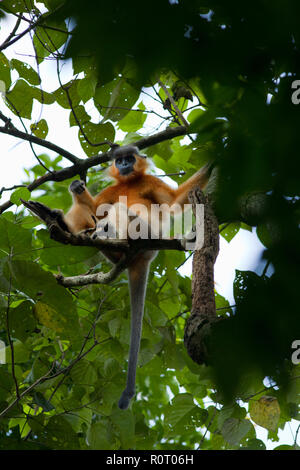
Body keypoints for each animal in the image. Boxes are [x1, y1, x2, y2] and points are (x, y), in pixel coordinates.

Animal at [42, 145, 212, 410]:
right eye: (119, 160)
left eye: (129, 159)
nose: (123, 165)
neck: (130, 182)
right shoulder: (113, 189)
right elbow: (95, 208)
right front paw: (76, 189)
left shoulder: (150, 182)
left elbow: (175, 200)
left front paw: (215, 161)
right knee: (105, 213)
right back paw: (71, 227)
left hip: (147, 235)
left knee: (122, 211)